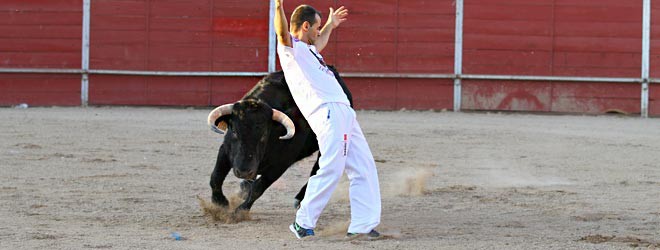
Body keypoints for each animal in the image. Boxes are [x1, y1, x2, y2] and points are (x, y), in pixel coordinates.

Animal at [208, 66, 354, 211]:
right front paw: (220, 202)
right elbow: (216, 176)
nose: (244, 172)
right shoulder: (226, 149)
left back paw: (299, 199)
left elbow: (258, 188)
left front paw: (240, 210)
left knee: (317, 170)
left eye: (264, 135)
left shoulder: (279, 165)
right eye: (234, 131)